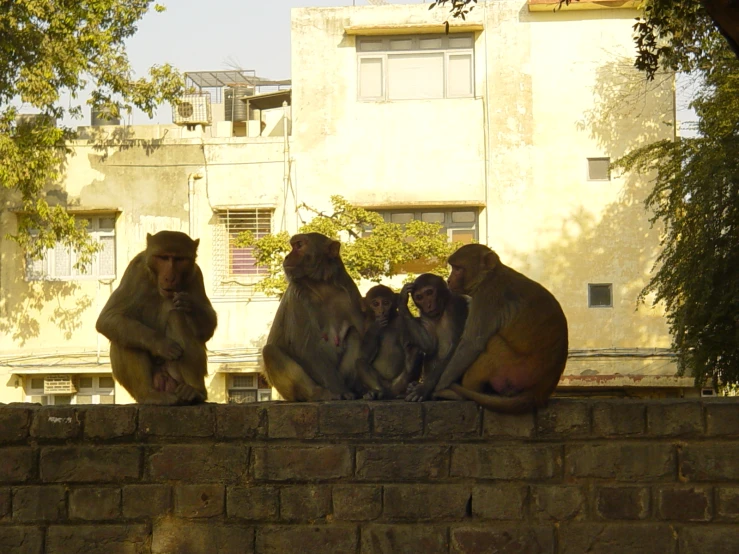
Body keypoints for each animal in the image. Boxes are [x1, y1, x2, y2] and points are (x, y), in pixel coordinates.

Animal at [95, 231, 217, 404]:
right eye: (163, 257)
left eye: (179, 259)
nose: (170, 277)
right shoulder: (135, 271)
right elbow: (109, 318)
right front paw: (161, 344)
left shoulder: (195, 275)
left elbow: (207, 329)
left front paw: (189, 304)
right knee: (122, 337)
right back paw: (149, 394)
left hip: (175, 378)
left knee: (177, 317)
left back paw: (194, 391)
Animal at [262, 231, 382, 398]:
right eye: (293, 245)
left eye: (299, 245)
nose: (286, 257)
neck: (321, 285)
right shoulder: (297, 296)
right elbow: (304, 347)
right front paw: (340, 391)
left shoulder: (349, 293)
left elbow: (364, 333)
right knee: (270, 352)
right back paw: (319, 393)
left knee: (354, 334)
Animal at [430, 244, 568, 412]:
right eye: (453, 267)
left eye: (457, 269)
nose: (449, 280)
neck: (489, 276)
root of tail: (540, 392)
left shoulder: (486, 296)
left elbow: (471, 344)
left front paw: (440, 386)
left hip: (517, 369)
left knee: (493, 343)